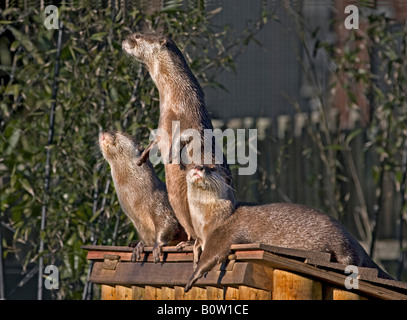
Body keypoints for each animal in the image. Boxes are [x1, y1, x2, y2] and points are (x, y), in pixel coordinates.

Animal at [99, 131, 188, 262]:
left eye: (118, 132)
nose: (103, 133)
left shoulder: (159, 203)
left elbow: (168, 222)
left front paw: (157, 246)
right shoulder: (137, 222)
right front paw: (140, 246)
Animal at [121, 33, 236, 245]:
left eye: (137, 36)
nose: (125, 39)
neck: (176, 98)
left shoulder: (191, 118)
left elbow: (188, 136)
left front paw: (172, 154)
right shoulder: (161, 124)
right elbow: (155, 140)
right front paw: (142, 157)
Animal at [186, 165, 396, 292]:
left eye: (212, 168)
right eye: (195, 164)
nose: (199, 167)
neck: (206, 220)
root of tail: (352, 238)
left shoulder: (223, 232)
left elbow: (213, 255)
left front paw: (192, 278)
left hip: (342, 243)